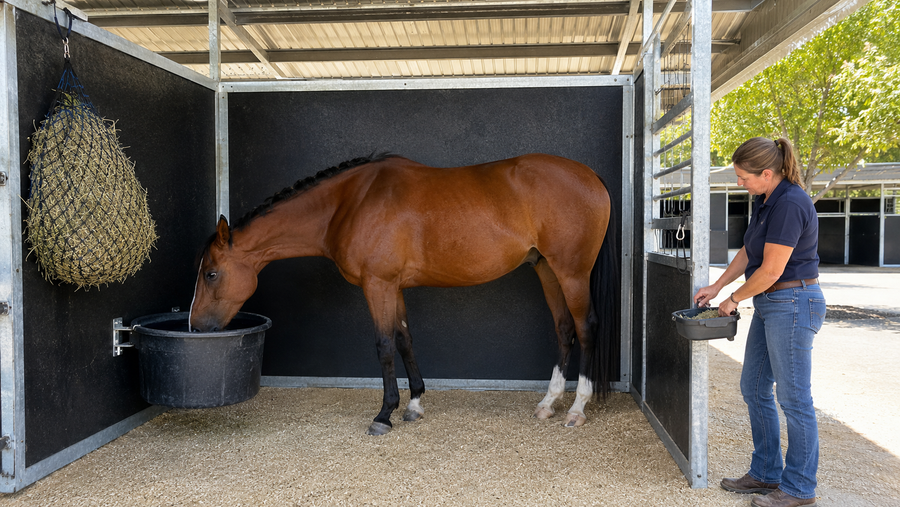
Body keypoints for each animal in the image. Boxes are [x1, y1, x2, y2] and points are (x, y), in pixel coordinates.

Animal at [189, 153, 620, 436]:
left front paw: (384, 414)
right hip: (547, 269)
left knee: (585, 328)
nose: (195, 327)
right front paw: (414, 404)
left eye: (211, 273)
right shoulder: (393, 286)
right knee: (564, 329)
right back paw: (548, 404)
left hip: (572, 272)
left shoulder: (377, 284)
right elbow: (404, 339)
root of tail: (590, 175)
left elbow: (383, 344)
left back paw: (577, 408)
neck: (350, 203)